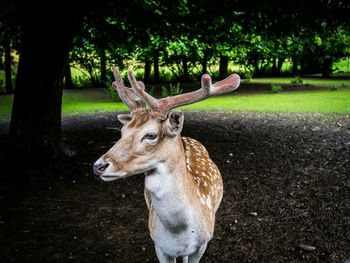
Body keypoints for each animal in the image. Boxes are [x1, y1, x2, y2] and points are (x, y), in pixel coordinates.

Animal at [93, 68, 241, 263]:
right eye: (122, 132)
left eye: (150, 135)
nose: (98, 166)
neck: (179, 231)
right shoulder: (159, 246)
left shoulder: (202, 244)